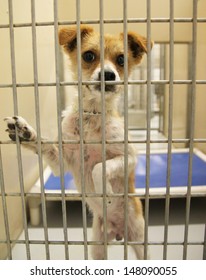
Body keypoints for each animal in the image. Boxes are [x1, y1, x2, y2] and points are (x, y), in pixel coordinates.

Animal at [4, 25, 153, 260]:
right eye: (89, 55)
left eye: (121, 59)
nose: (108, 75)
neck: (92, 115)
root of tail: (119, 232)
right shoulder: (62, 163)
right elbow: (45, 145)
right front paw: (25, 132)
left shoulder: (130, 157)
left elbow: (100, 166)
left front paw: (105, 191)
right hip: (98, 246)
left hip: (140, 239)